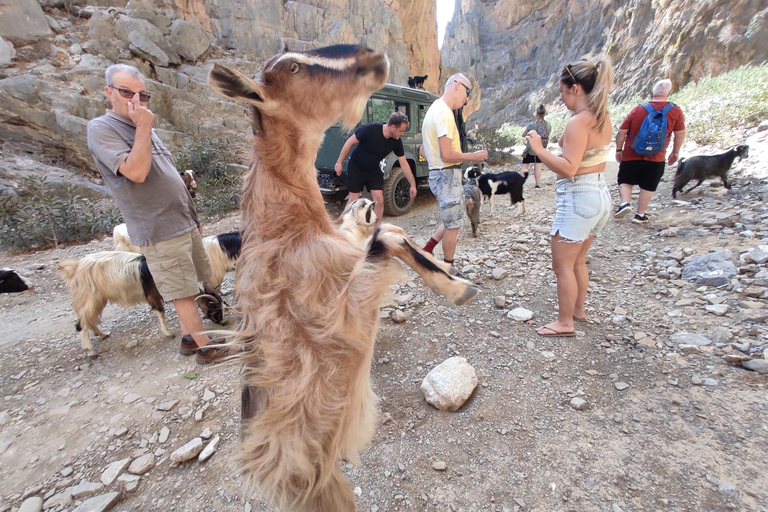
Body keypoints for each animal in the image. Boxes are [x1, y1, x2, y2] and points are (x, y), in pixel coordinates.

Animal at [207, 45, 476, 512]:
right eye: (294, 67)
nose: (373, 59)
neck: (289, 226)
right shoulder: (344, 313)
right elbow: (389, 236)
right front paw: (460, 289)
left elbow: (393, 233)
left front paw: (453, 280)